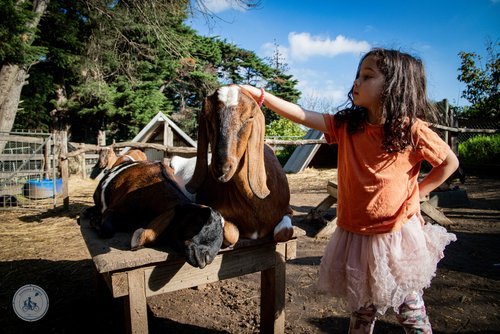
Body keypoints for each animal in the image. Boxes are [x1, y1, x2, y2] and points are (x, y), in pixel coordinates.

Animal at [186, 84, 294, 245]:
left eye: (249, 117)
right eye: (208, 118)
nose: (222, 168)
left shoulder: (288, 210)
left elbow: (283, 233)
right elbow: (231, 233)